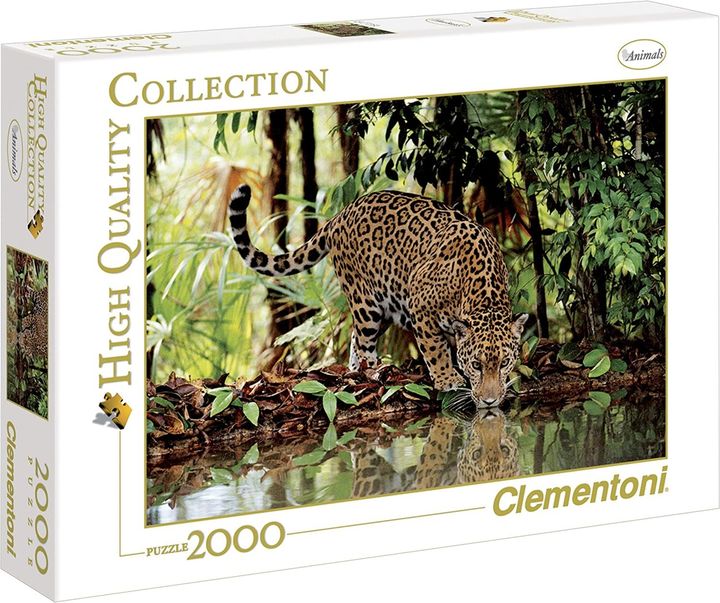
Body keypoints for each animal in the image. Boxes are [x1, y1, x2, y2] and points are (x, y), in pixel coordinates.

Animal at [228, 184, 527, 406]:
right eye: (476, 365)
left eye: (504, 363)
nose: (490, 401)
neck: (481, 293)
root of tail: (341, 214)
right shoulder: (421, 308)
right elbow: (436, 350)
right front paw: (447, 380)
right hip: (366, 301)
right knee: (363, 341)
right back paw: (370, 372)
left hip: (384, 306)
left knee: (354, 338)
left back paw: (354, 371)